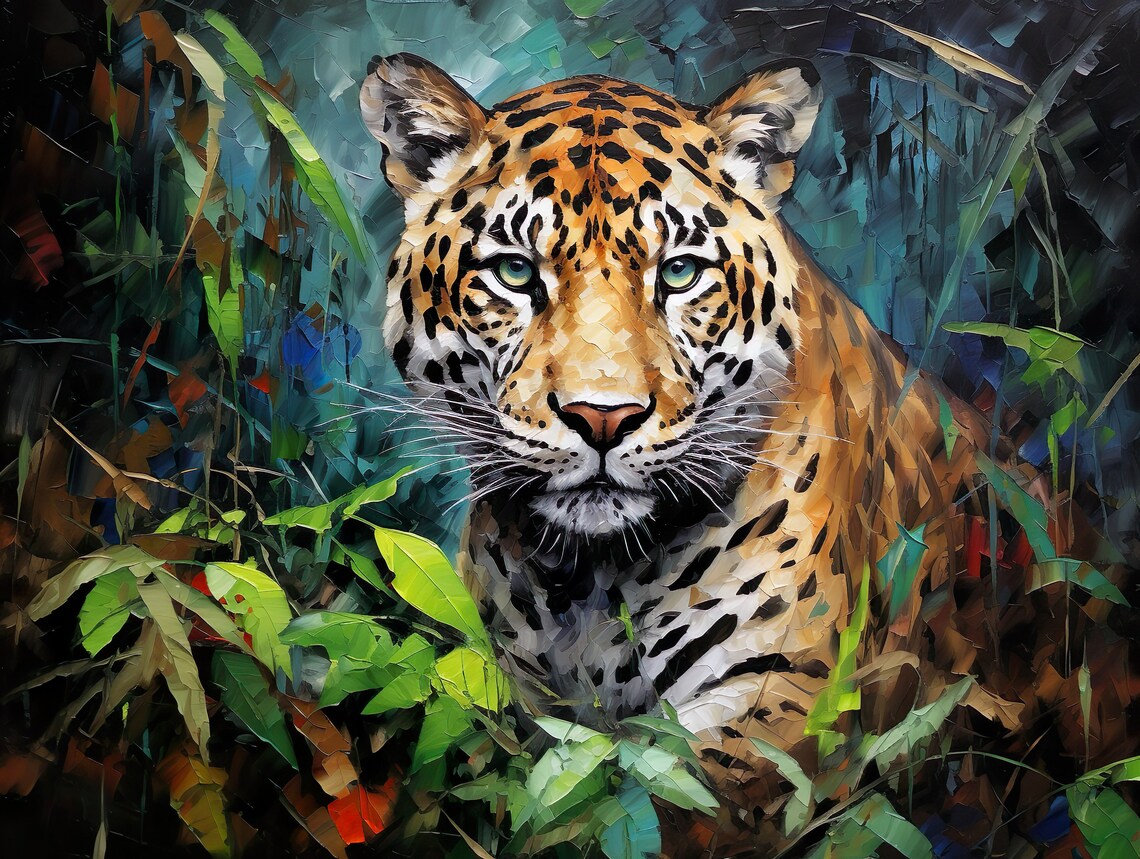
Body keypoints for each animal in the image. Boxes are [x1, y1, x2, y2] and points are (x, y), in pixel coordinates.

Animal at [359, 53, 1136, 853]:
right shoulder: (514, 692)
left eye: (679, 273)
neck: (587, 583)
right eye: (515, 273)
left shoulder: (773, 709)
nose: (602, 416)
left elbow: (631, 812)